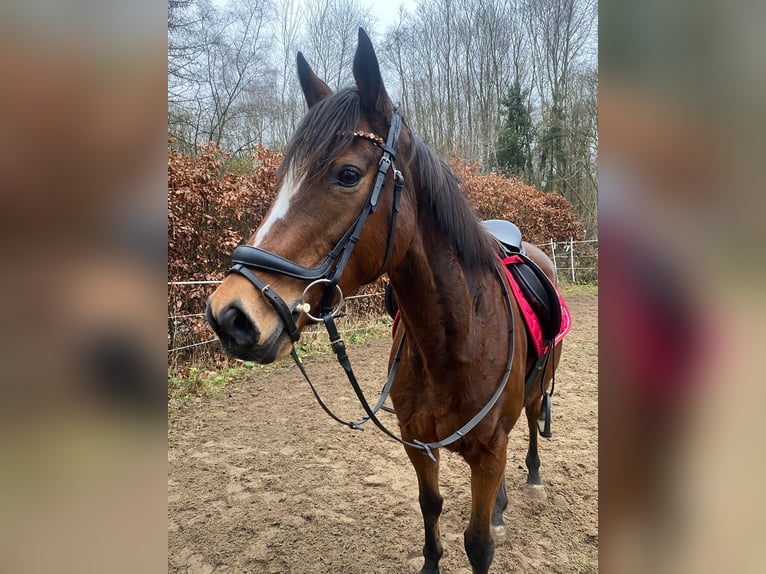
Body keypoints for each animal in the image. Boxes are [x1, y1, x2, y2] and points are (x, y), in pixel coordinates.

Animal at [206, 28, 564, 574]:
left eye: (348, 175)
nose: (230, 314)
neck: (452, 341)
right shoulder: (418, 443)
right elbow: (431, 506)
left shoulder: (488, 451)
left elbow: (479, 544)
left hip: (534, 391)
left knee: (527, 422)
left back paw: (533, 479)